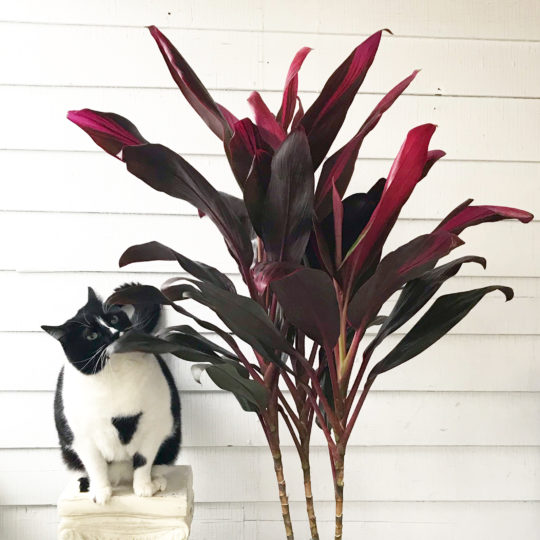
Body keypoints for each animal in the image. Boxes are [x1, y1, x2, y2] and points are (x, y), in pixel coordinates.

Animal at [42, 284, 181, 504]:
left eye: (114, 319)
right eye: (91, 336)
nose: (115, 333)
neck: (117, 375)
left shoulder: (154, 426)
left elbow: (144, 460)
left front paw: (143, 488)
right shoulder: (82, 437)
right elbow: (96, 466)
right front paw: (101, 492)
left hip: (171, 441)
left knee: (158, 463)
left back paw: (156, 481)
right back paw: (87, 485)